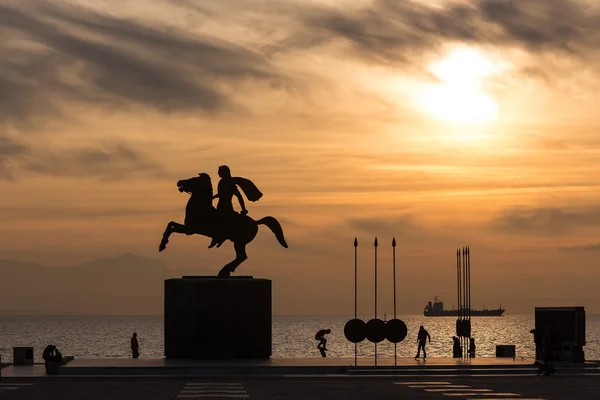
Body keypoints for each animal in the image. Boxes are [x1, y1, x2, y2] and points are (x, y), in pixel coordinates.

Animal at [158, 173, 290, 276]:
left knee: (242, 256)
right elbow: (170, 224)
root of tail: (255, 222)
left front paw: (162, 245)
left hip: (239, 242)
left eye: (193, 179)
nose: (179, 182)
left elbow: (172, 229)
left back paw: (224, 271)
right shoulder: (188, 228)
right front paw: (162, 244)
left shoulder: (190, 229)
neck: (200, 207)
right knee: (241, 257)